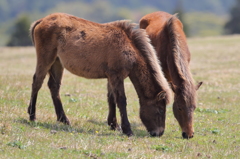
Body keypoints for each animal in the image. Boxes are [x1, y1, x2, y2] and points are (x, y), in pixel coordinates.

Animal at [27, 12, 172, 137]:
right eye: (160, 110)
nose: (159, 133)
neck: (128, 47)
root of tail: (42, 20)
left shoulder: (111, 77)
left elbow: (111, 98)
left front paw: (114, 125)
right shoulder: (116, 77)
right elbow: (121, 100)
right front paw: (127, 130)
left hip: (57, 62)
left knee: (54, 86)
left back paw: (63, 119)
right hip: (46, 59)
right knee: (37, 82)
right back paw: (32, 115)